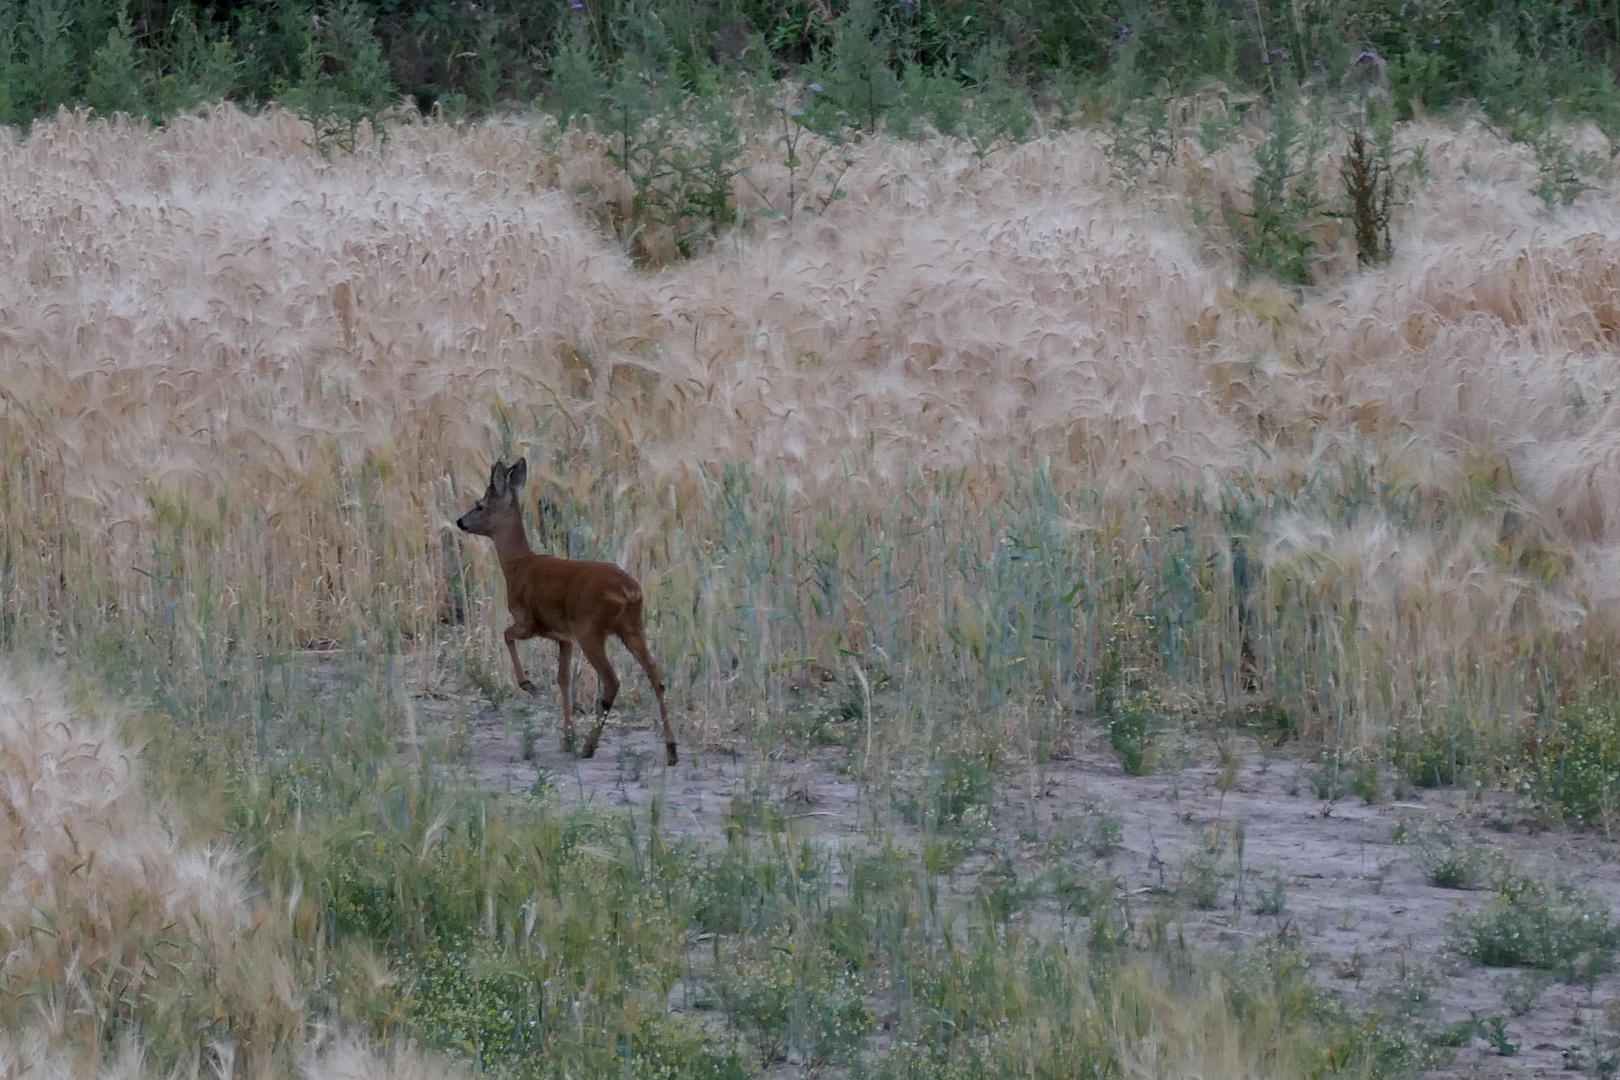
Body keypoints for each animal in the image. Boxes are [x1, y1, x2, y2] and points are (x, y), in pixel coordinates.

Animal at [456, 459, 677, 764]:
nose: (460, 521)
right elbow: (563, 679)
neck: (517, 566)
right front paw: (567, 735)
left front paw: (528, 684)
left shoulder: (529, 621)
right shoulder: (564, 637)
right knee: (656, 676)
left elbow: (506, 635)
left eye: (480, 505)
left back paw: (589, 747)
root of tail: (628, 591)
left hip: (590, 628)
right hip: (632, 626)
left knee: (612, 681)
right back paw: (671, 750)